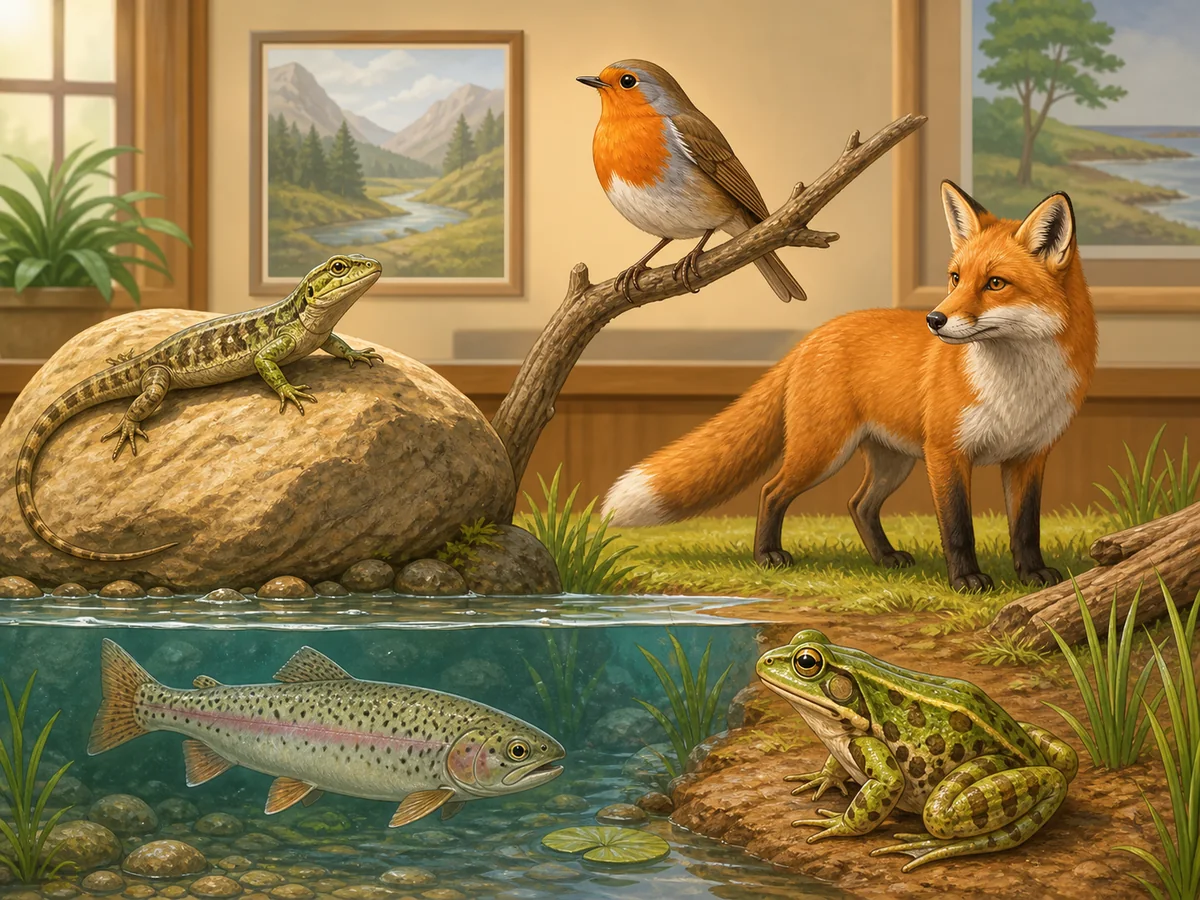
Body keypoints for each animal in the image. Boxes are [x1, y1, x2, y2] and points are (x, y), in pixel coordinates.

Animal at [601, 181, 1098, 592]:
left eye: (995, 283)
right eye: (956, 278)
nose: (935, 320)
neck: (1016, 386)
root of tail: (815, 335)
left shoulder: (1029, 456)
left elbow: (1026, 527)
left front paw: (1033, 575)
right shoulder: (947, 454)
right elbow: (958, 528)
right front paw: (967, 581)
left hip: (893, 461)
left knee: (859, 504)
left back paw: (884, 558)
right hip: (824, 452)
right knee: (772, 491)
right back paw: (768, 555)